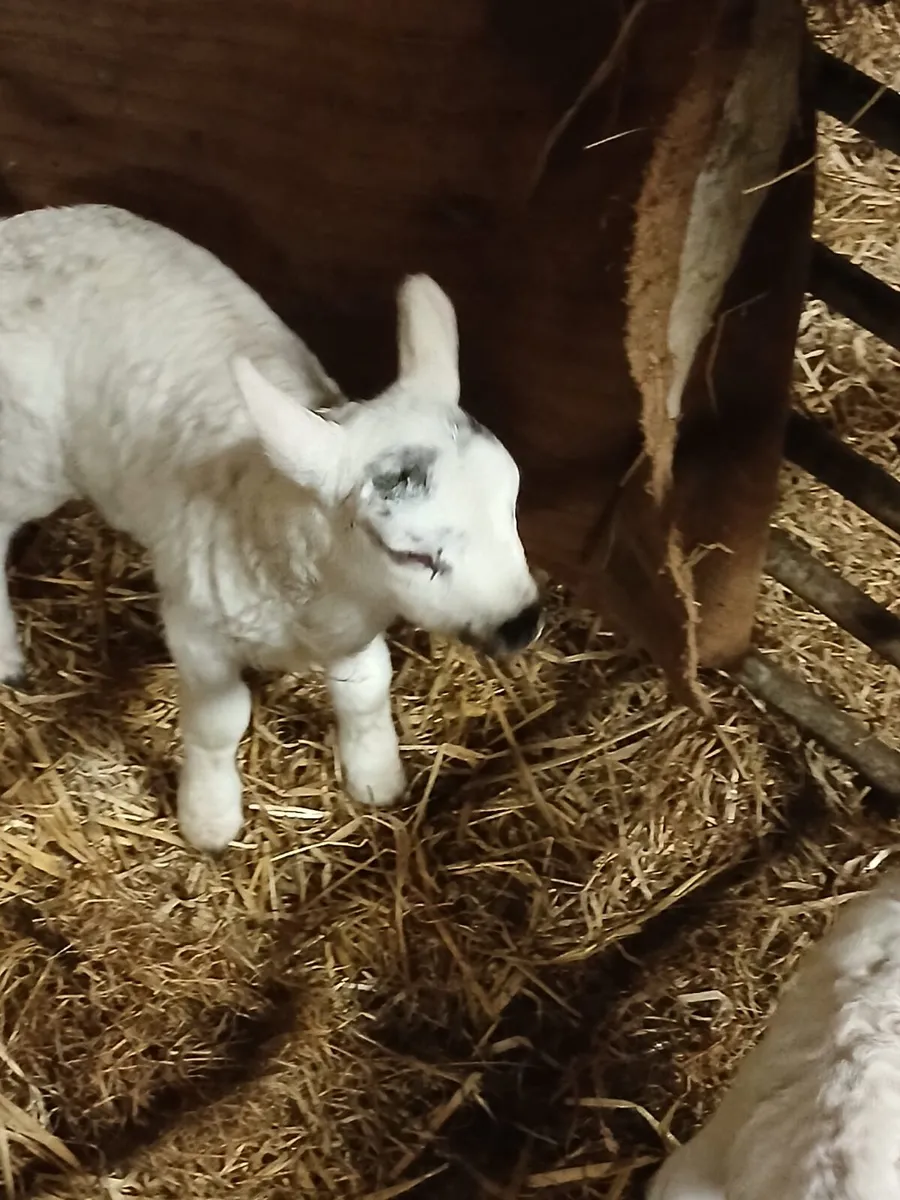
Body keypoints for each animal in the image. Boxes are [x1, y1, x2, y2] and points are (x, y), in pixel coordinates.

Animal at [0, 204, 542, 852]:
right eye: (410, 554)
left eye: (511, 505)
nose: (523, 623)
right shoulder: (197, 632)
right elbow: (219, 721)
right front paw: (209, 818)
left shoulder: (354, 627)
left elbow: (365, 690)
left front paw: (377, 776)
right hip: (25, 455)